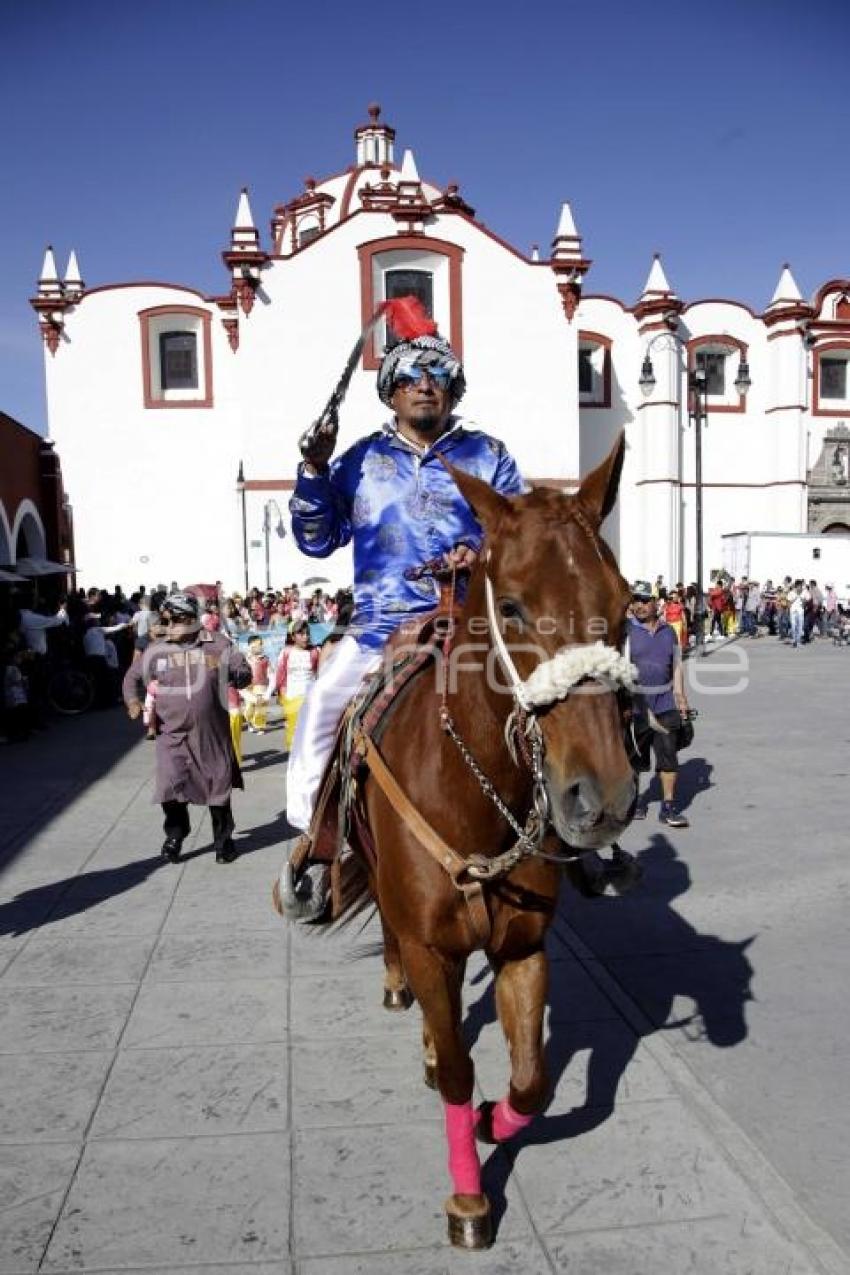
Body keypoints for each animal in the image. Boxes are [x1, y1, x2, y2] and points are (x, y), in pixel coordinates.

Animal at [346, 433, 637, 1249]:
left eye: (626, 603)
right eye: (510, 606)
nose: (602, 798)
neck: (471, 790)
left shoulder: (522, 947)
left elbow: (531, 1081)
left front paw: (490, 1120)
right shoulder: (431, 945)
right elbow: (456, 1068)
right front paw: (470, 1199)